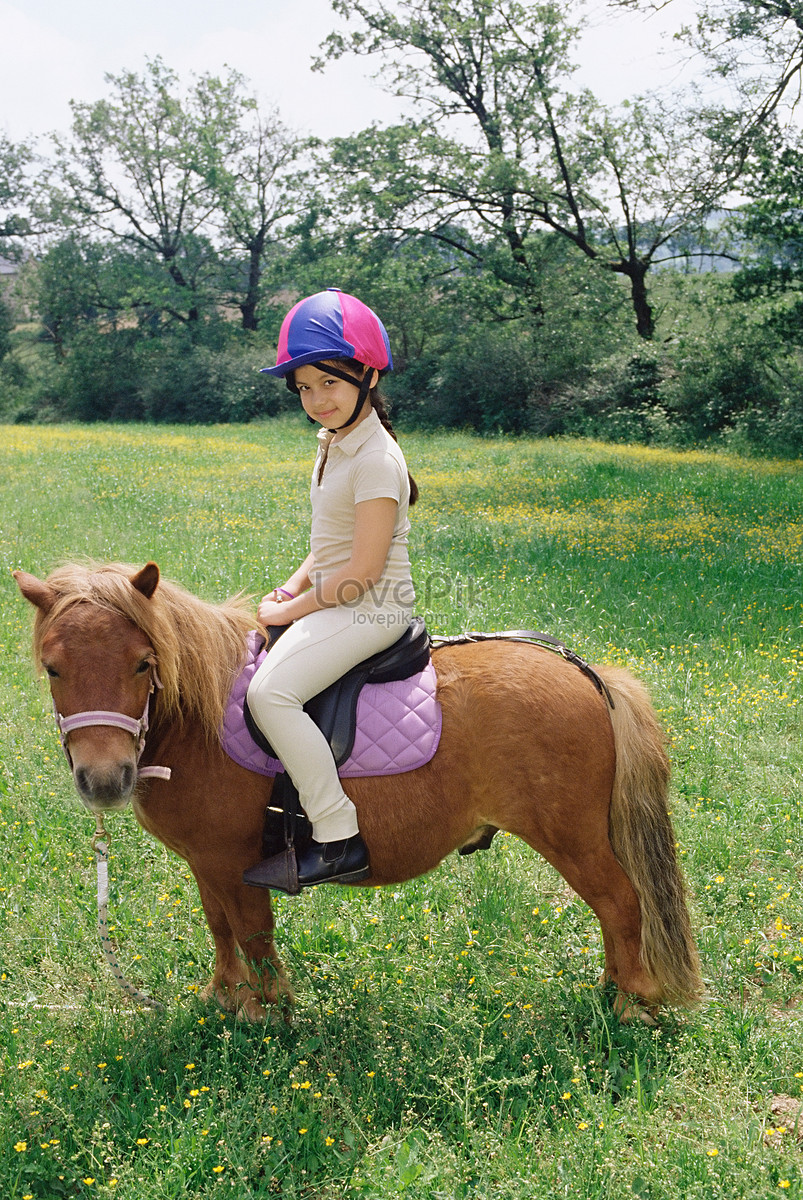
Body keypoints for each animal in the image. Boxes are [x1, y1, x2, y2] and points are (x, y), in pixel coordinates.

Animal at [14, 561, 700, 1022]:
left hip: (573, 839)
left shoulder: (238, 864)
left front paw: (267, 1014)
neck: (198, 718)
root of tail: (589, 675)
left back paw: (631, 1004)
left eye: (142, 663)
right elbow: (220, 927)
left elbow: (255, 934)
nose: (105, 779)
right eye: (53, 667)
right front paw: (225, 998)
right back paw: (612, 990)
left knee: (622, 903)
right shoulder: (208, 864)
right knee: (616, 910)